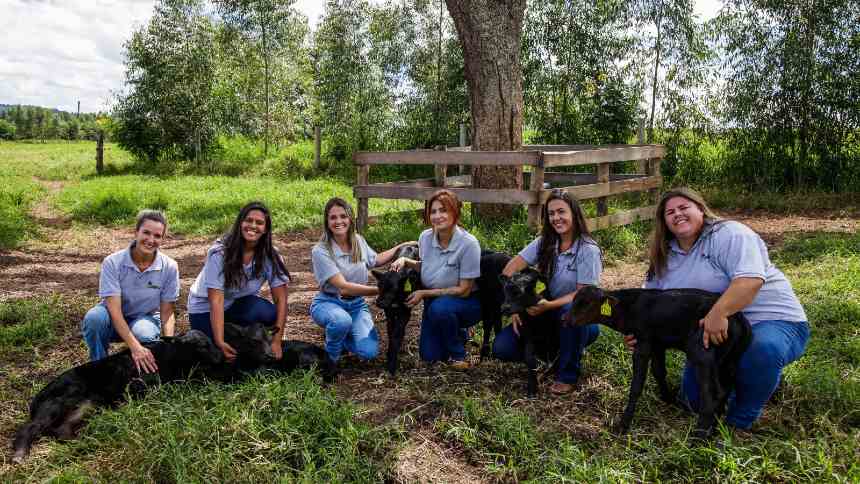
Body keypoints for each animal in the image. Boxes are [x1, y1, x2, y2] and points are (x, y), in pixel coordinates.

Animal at [11, 330, 223, 464]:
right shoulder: (144, 386)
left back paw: (84, 441)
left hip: (87, 405)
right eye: (201, 346)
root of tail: (38, 396)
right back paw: (19, 455)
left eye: (209, 342)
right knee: (30, 427)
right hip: (58, 403)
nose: (220, 356)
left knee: (61, 430)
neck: (172, 359)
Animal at [498, 268, 564, 398]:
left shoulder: (552, 337)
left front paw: (550, 373)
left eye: (518, 292)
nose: (504, 308)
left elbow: (554, 355)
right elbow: (529, 358)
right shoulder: (529, 337)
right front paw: (532, 388)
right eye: (504, 290)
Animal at [568, 286, 748, 440]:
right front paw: (668, 399)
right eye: (574, 301)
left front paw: (624, 424)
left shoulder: (643, 342)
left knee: (711, 393)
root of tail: (739, 319)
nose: (566, 319)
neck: (628, 309)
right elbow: (659, 371)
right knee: (725, 389)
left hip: (703, 353)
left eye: (586, 303)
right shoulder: (657, 344)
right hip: (728, 360)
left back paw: (699, 437)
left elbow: (637, 385)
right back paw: (714, 431)